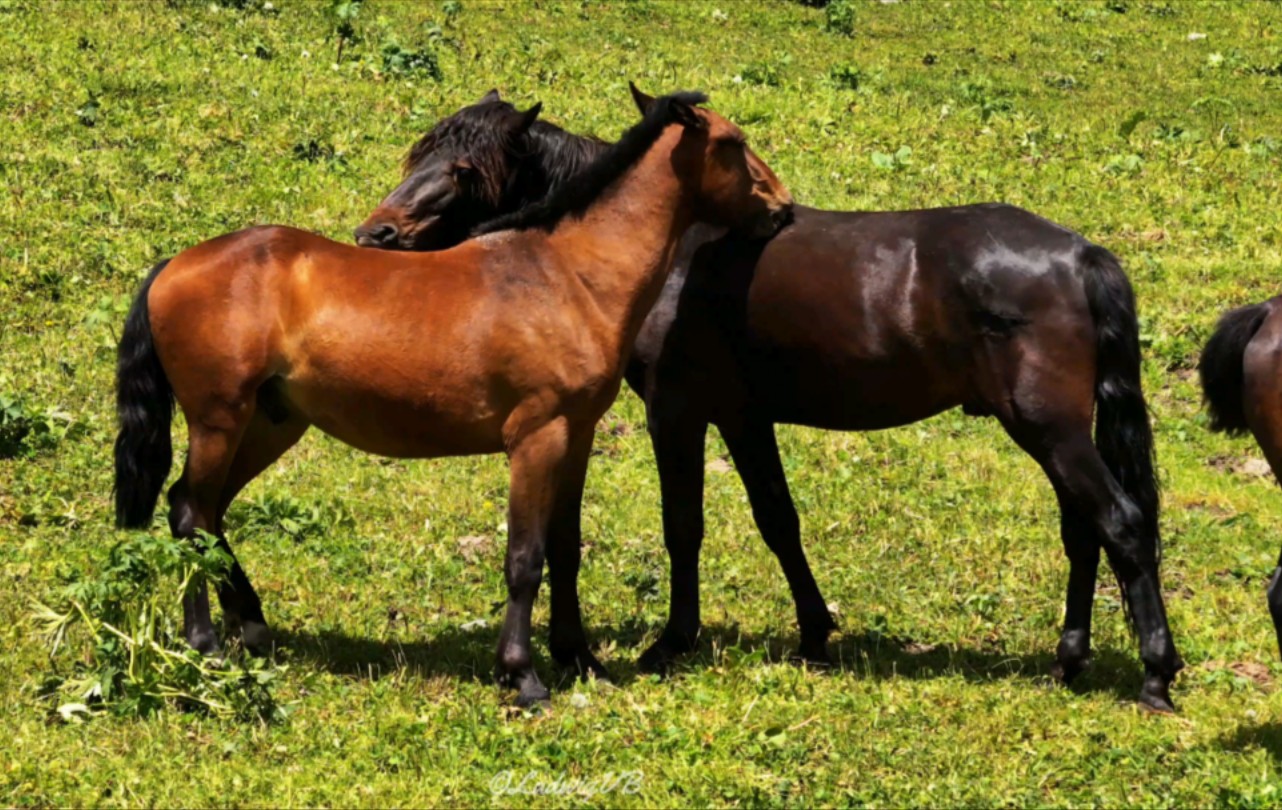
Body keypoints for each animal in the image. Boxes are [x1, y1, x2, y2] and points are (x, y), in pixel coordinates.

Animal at [112, 88, 789, 707]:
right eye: (734, 144)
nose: (781, 207)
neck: (565, 274)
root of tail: (176, 264)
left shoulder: (575, 437)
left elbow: (565, 550)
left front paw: (580, 659)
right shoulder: (536, 438)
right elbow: (525, 558)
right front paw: (523, 677)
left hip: (269, 425)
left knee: (204, 513)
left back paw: (251, 626)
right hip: (219, 422)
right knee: (191, 515)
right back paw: (205, 644)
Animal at [353, 85, 1179, 712]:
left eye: (465, 167)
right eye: (418, 153)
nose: (375, 235)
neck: (670, 250)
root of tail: (1080, 254)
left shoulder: (678, 410)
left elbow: (684, 526)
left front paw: (672, 642)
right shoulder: (744, 415)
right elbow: (779, 520)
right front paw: (815, 634)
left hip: (1049, 427)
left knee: (1122, 525)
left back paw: (1156, 675)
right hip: (1055, 430)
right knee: (1084, 535)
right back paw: (1068, 661)